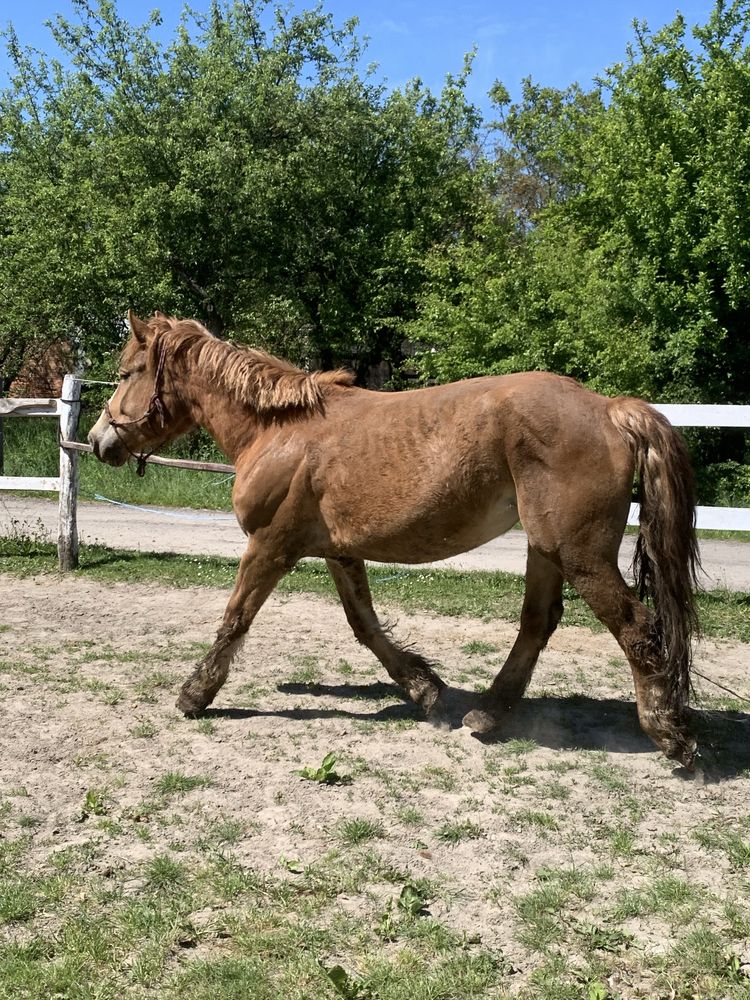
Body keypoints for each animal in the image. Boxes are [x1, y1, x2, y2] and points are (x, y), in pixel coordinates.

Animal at [89, 312, 704, 764]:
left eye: (126, 373)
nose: (98, 440)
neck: (278, 431)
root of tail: (610, 409)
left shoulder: (271, 545)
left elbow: (236, 617)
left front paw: (195, 695)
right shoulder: (337, 551)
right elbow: (364, 625)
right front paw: (424, 690)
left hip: (578, 553)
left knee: (637, 628)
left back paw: (670, 735)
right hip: (546, 549)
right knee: (538, 623)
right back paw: (486, 715)